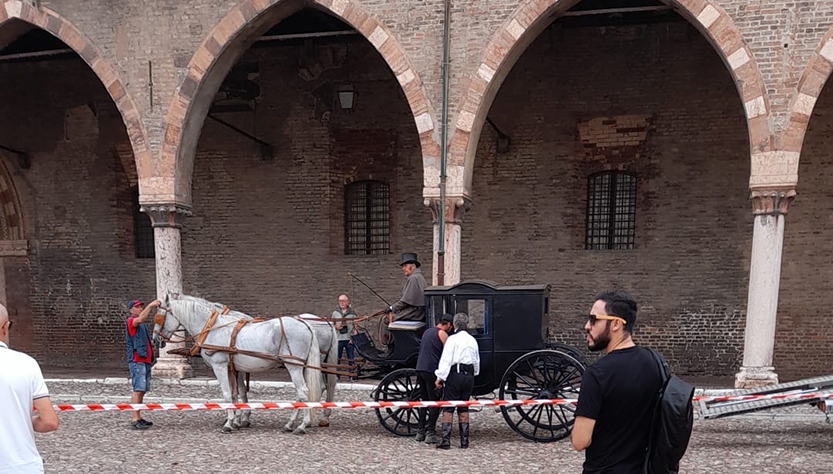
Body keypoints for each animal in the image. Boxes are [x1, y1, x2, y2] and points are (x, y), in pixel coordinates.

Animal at [153, 294, 324, 436]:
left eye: (159, 317)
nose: (155, 340)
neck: (211, 328)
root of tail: (304, 323)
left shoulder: (220, 366)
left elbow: (227, 395)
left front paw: (229, 423)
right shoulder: (233, 369)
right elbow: (237, 394)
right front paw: (236, 420)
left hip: (293, 366)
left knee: (303, 392)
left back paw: (302, 425)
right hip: (299, 367)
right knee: (299, 394)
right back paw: (290, 424)